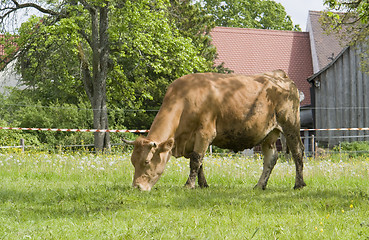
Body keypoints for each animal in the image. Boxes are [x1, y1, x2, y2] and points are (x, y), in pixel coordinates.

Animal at [123, 70, 304, 191]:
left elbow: (195, 160)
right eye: (133, 161)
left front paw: (189, 185)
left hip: (291, 125)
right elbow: (199, 162)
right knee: (271, 158)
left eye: (146, 162)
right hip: (270, 134)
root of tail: (280, 75)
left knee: (298, 153)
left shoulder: (205, 133)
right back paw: (260, 185)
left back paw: (299, 184)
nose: (136, 187)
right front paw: (203, 184)